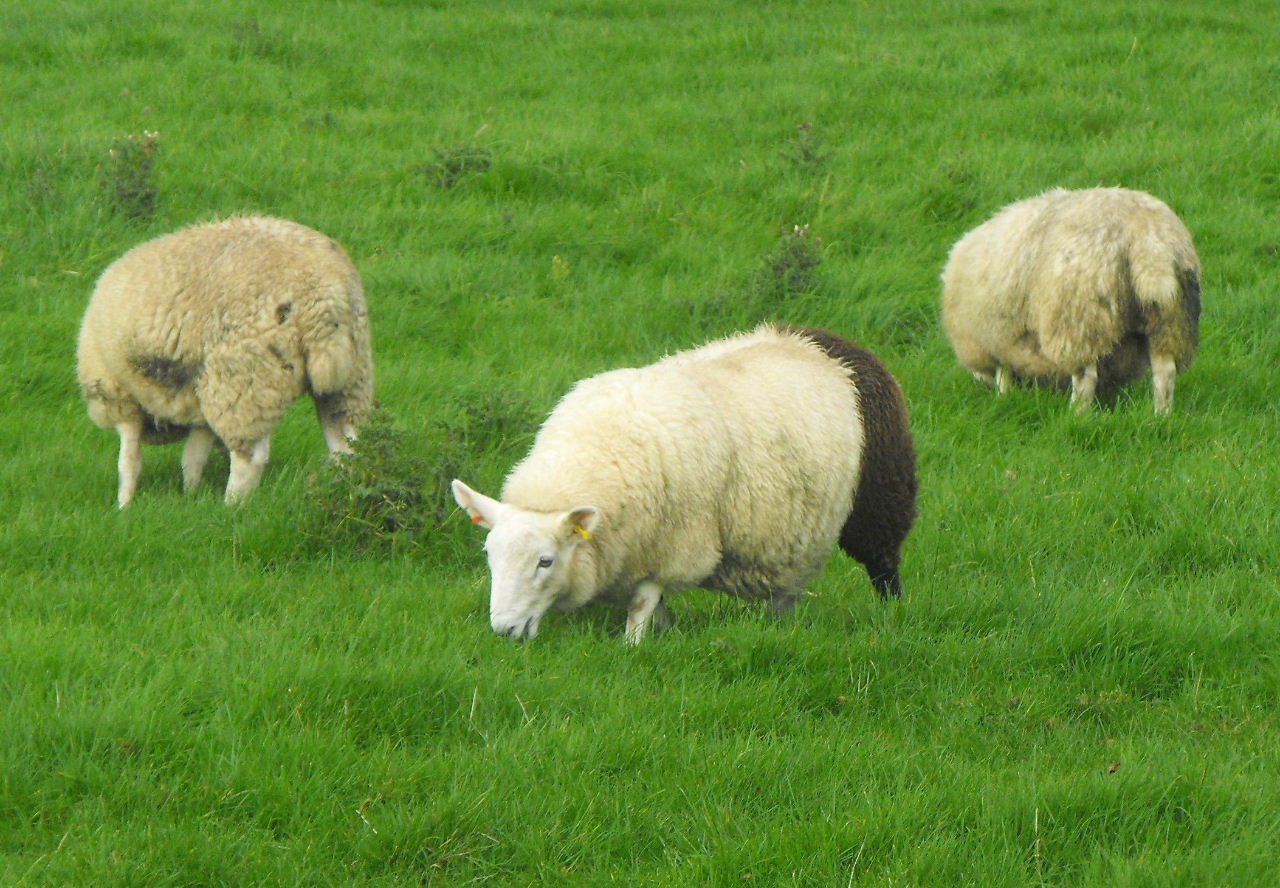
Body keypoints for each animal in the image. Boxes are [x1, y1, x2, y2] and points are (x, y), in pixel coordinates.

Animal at [76, 216, 374, 507]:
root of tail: (322, 296)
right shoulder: (199, 400)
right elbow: (193, 456)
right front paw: (191, 494)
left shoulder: (119, 395)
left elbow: (129, 460)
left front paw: (124, 505)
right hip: (350, 377)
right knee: (347, 445)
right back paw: (345, 493)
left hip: (247, 378)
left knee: (250, 457)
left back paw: (231, 506)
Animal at [452, 324, 918, 643]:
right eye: (489, 555)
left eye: (545, 562)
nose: (505, 630)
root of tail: (824, 341)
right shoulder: (634, 549)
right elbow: (651, 603)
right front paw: (664, 630)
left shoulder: (676, 544)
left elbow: (644, 600)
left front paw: (633, 644)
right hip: (794, 532)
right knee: (786, 591)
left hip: (881, 495)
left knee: (884, 563)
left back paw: (892, 614)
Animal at [940, 187, 1201, 413]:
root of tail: (1148, 240)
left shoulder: (992, 342)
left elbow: (1002, 375)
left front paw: (1002, 396)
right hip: (1171, 319)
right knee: (1165, 371)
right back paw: (1161, 415)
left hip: (1079, 317)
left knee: (1086, 376)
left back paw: (1078, 414)